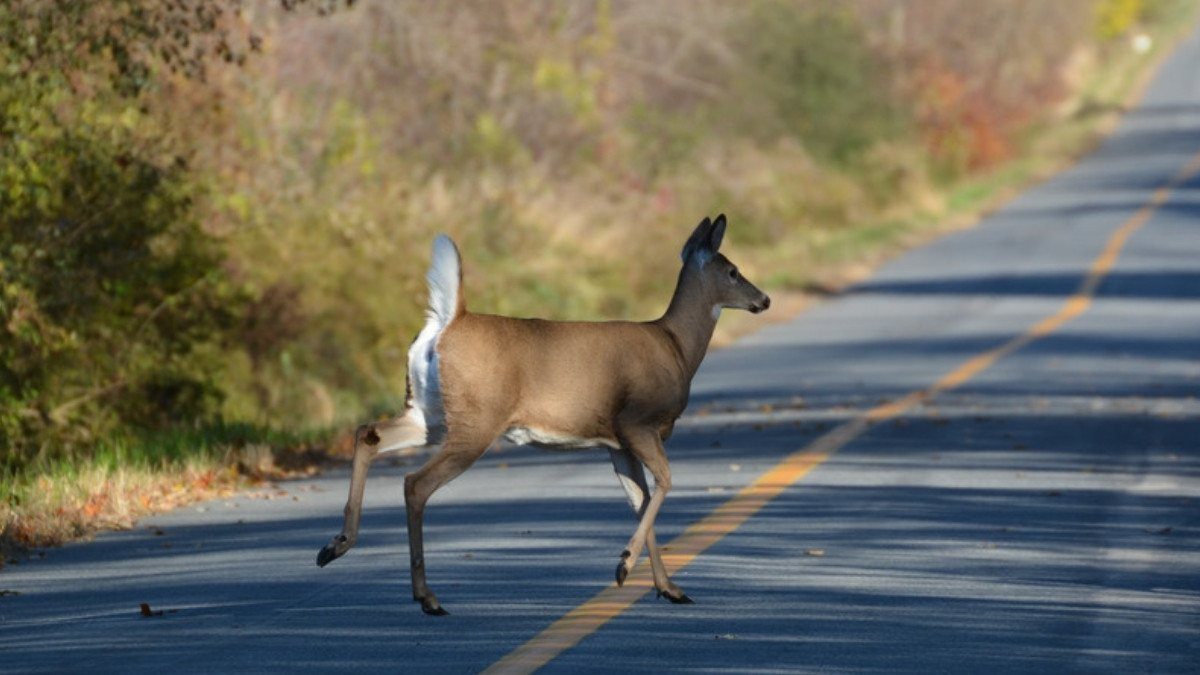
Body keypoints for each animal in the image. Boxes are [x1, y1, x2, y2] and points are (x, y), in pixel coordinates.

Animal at [316, 214, 770, 615]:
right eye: (732, 271)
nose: (763, 299)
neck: (675, 346)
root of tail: (449, 321)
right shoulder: (637, 421)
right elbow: (665, 483)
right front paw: (624, 566)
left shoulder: (616, 442)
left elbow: (640, 500)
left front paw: (669, 588)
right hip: (476, 420)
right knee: (415, 483)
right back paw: (427, 597)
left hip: (430, 414)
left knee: (368, 433)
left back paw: (335, 546)